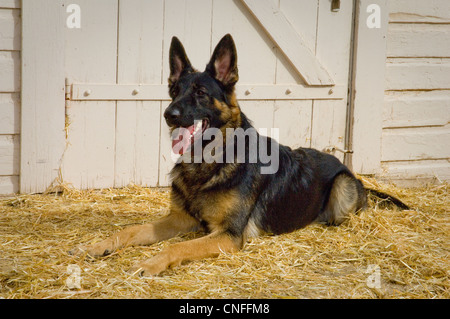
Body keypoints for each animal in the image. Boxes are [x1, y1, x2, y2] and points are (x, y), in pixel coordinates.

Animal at [69, 34, 366, 276]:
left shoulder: (229, 235)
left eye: (200, 93)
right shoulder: (181, 218)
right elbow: (131, 230)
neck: (209, 161)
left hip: (342, 187)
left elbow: (178, 248)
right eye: (174, 91)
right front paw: (96, 246)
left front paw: (150, 263)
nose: (169, 115)